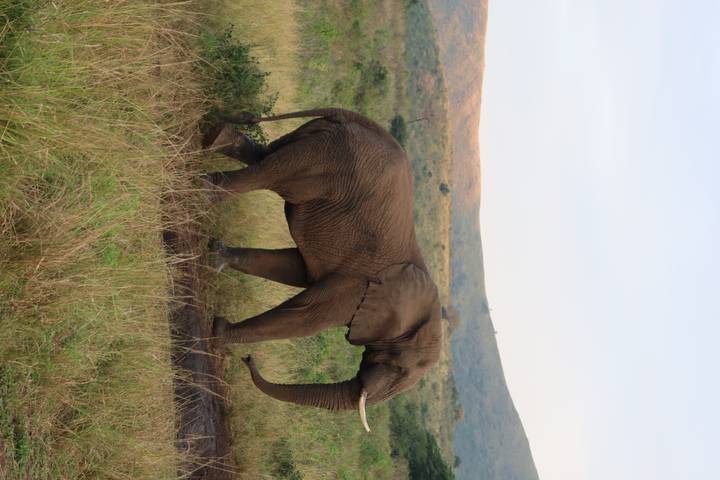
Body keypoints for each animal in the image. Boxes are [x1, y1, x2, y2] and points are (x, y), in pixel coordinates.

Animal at [203, 108, 441, 432]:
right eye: (399, 367)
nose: (248, 360)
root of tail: (346, 115)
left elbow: (296, 269)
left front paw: (215, 259)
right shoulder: (359, 287)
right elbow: (308, 316)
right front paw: (217, 336)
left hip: (319, 146)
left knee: (266, 157)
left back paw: (215, 137)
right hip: (329, 160)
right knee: (271, 174)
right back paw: (205, 190)